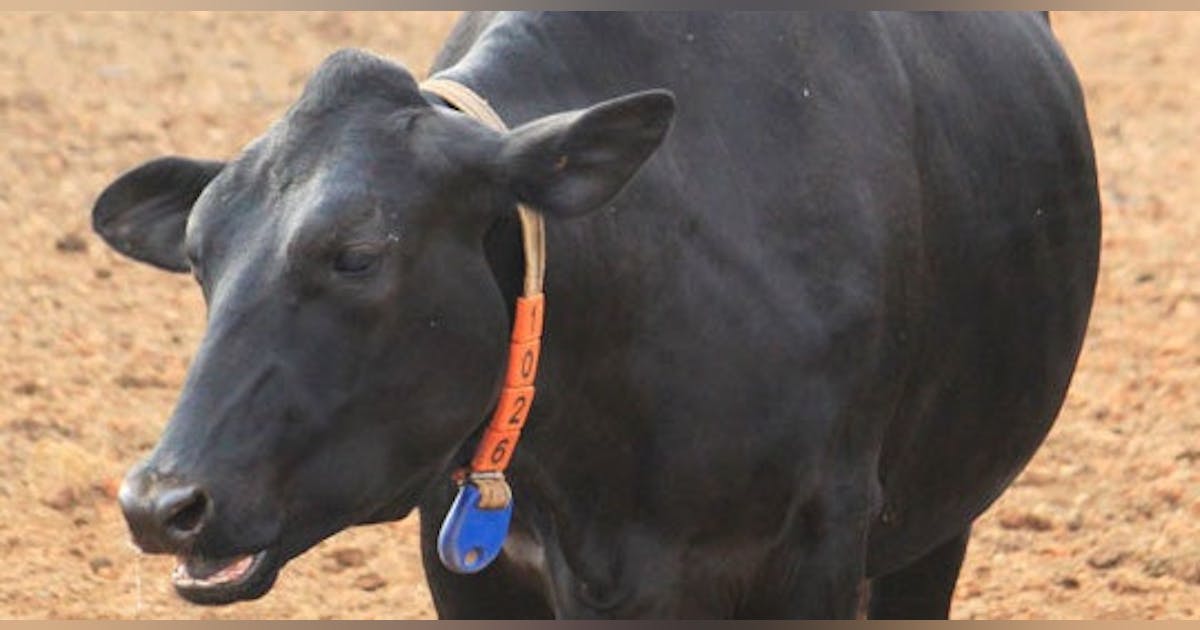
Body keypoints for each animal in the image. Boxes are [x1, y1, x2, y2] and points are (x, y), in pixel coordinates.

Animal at [92, 12, 1100, 619]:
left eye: (357, 254)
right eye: (199, 255)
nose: (161, 503)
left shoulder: (821, 539)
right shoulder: (470, 562)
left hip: (937, 517)